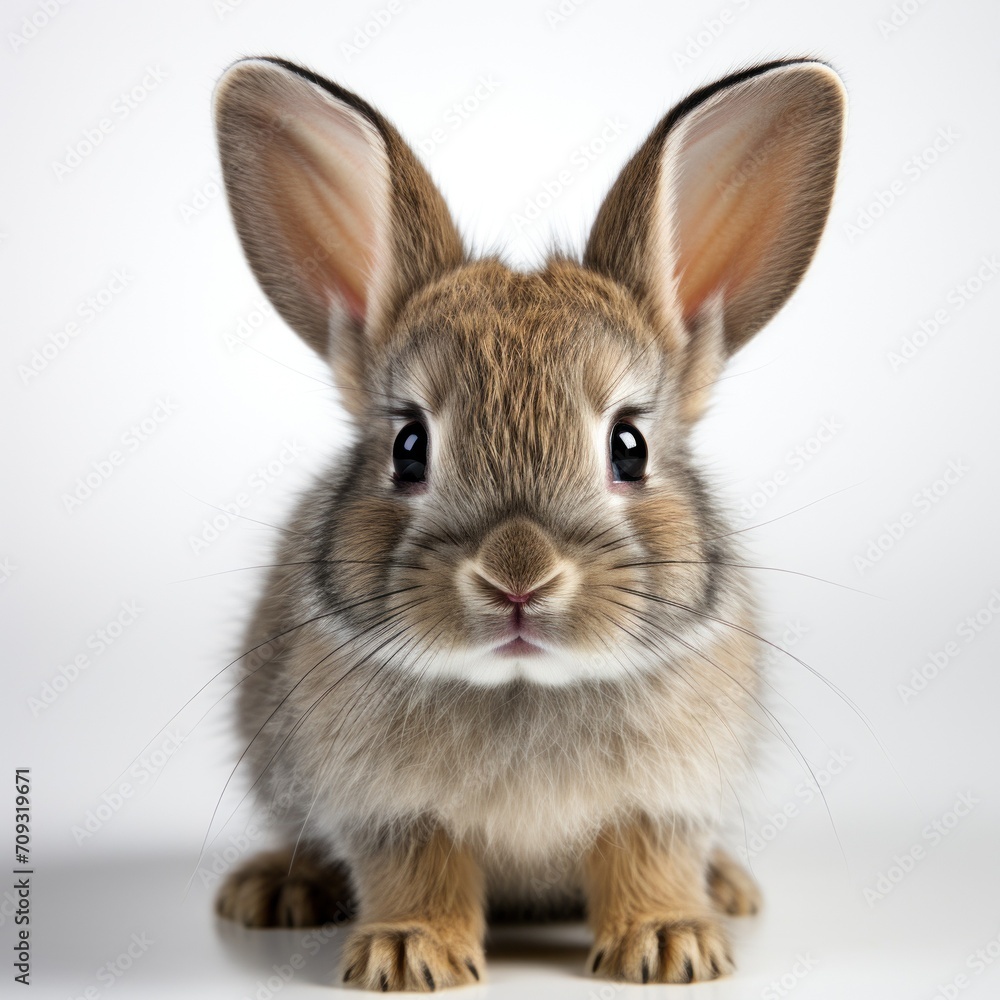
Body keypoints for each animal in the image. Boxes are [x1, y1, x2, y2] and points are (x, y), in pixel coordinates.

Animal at [210, 55, 845, 990]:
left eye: (629, 447)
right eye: (408, 446)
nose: (518, 577)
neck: (523, 686)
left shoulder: (663, 804)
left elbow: (646, 860)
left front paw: (671, 946)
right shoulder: (391, 815)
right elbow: (418, 873)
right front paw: (410, 955)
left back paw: (727, 888)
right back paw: (272, 891)